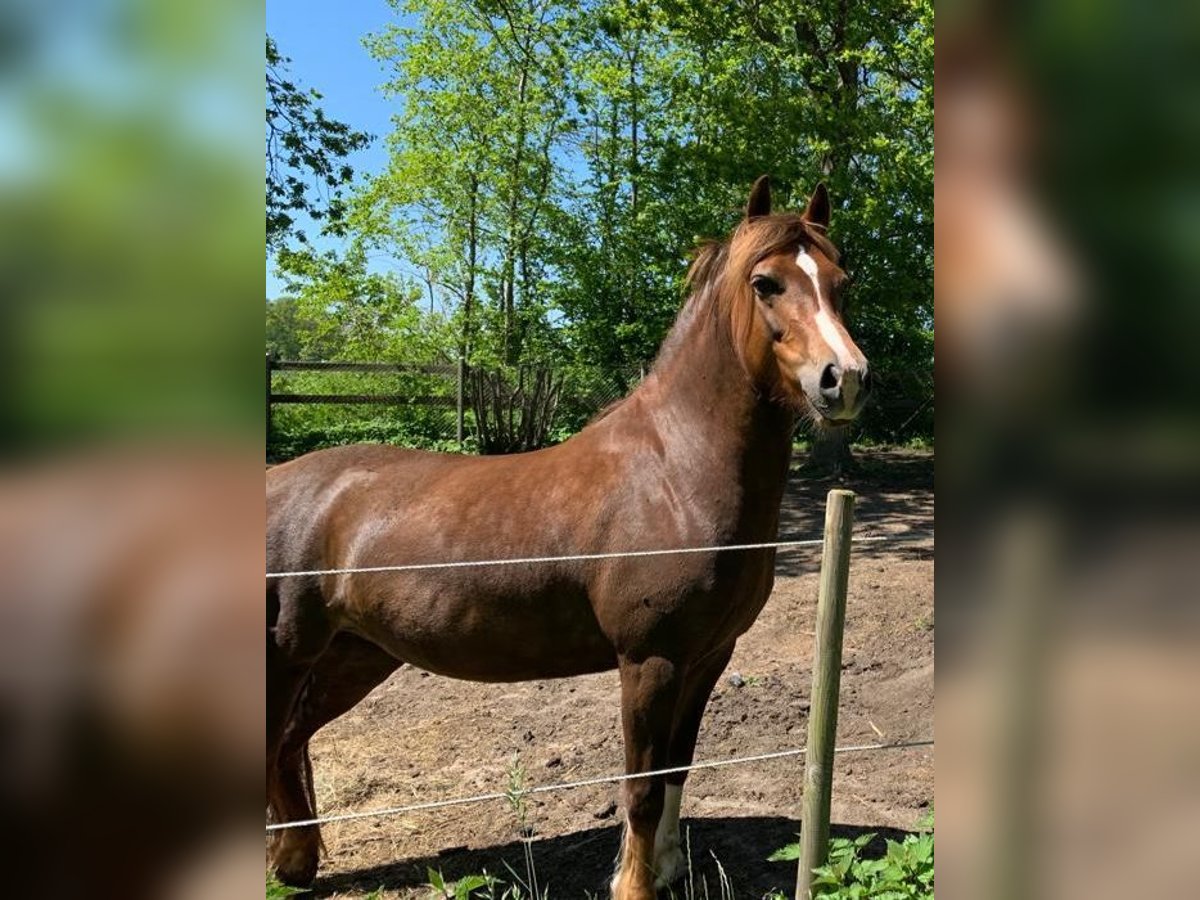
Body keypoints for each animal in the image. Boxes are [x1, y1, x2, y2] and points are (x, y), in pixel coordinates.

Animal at [270, 177, 873, 900]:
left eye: (840, 282)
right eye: (766, 283)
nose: (844, 378)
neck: (674, 472)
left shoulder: (708, 656)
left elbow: (676, 770)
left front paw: (667, 869)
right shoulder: (649, 661)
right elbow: (641, 787)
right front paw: (635, 885)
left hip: (353, 655)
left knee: (288, 742)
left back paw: (296, 865)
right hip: (290, 656)